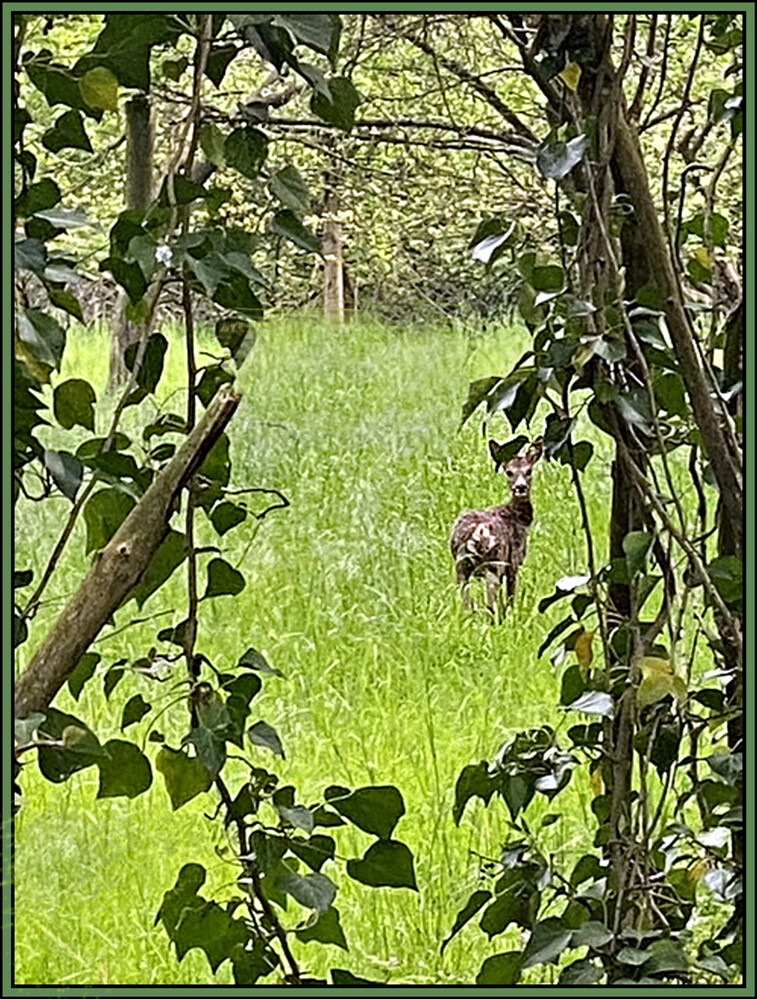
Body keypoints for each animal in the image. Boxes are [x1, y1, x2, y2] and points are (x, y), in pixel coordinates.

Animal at [452, 444, 540, 620]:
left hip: (461, 567)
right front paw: (511, 615)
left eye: (529, 470)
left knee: (466, 604)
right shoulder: (513, 562)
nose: (520, 487)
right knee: (490, 604)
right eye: (509, 472)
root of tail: (476, 533)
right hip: (494, 563)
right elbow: (510, 596)